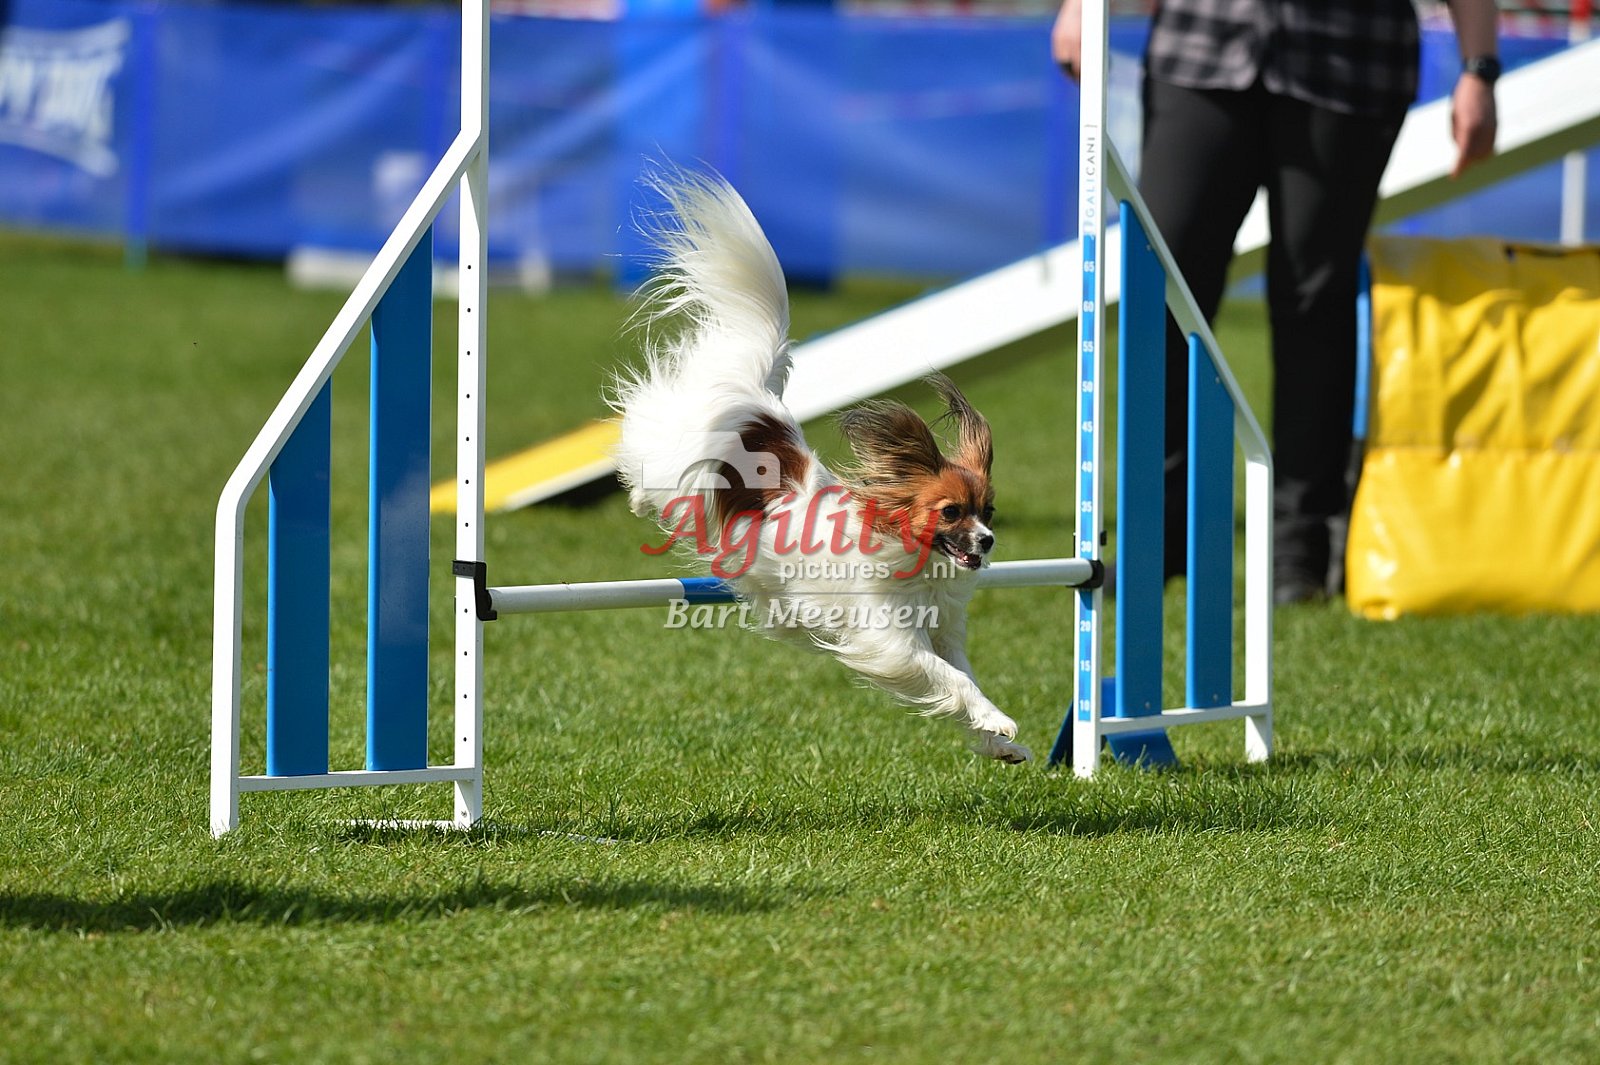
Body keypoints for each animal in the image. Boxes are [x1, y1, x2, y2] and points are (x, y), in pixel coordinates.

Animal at [610, 170, 1029, 764]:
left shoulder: (944, 631)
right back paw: (638, 495)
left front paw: (1000, 744)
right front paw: (997, 720)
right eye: (951, 512)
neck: (919, 565)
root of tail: (757, 402)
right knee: (646, 456)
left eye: (988, 512)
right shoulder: (891, 639)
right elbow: (951, 680)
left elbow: (964, 676)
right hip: (680, 460)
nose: (988, 540)